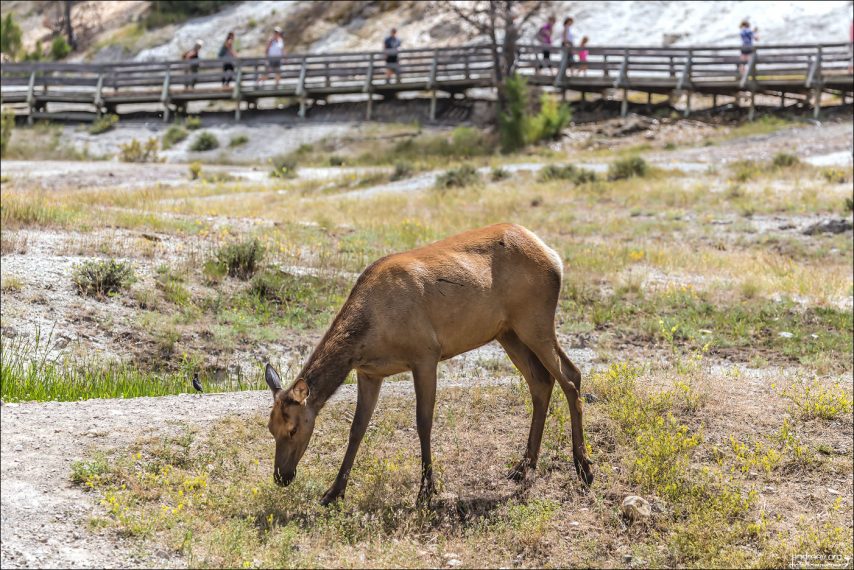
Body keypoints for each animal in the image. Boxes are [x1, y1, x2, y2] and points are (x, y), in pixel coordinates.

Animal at [264, 223, 593, 506]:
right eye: (270, 428)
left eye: (293, 429)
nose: (281, 476)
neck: (369, 334)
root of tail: (554, 257)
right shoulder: (369, 373)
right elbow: (357, 428)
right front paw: (333, 492)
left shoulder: (425, 355)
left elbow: (424, 422)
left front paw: (426, 491)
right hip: (508, 332)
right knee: (541, 381)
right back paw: (524, 466)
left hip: (535, 321)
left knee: (571, 376)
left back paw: (584, 468)